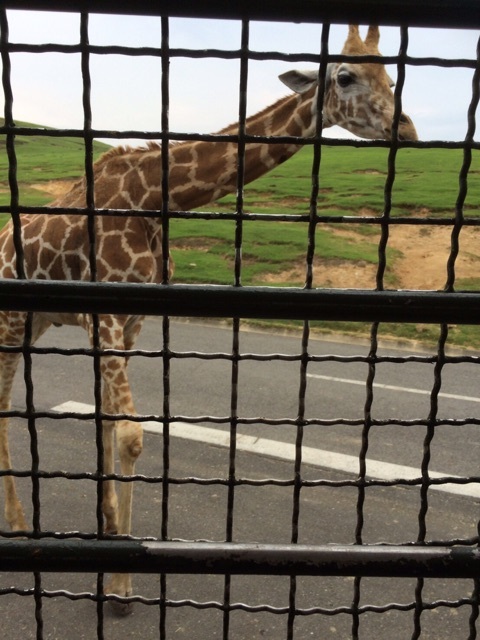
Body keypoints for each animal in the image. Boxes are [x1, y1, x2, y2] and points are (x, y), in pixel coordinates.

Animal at [0, 25, 416, 616]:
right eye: (345, 75)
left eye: (392, 76)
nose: (406, 127)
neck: (154, 196)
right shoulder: (106, 316)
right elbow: (130, 435)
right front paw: (119, 583)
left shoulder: (130, 321)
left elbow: (111, 430)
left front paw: (115, 564)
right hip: (13, 319)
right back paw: (16, 524)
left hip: (34, 321)